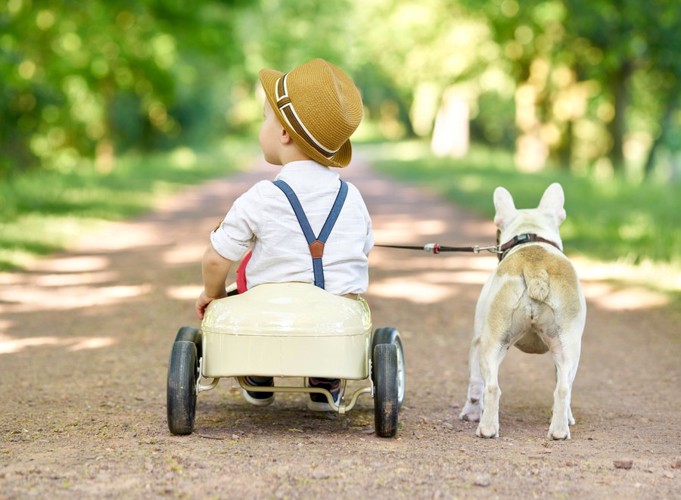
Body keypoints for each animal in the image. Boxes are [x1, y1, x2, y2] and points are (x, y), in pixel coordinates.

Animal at [460, 183, 588, 438]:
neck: (530, 235)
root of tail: (535, 267)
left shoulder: (476, 341)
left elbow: (474, 384)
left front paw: (470, 413)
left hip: (493, 341)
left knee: (491, 386)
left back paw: (487, 429)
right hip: (568, 344)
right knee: (563, 388)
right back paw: (559, 430)